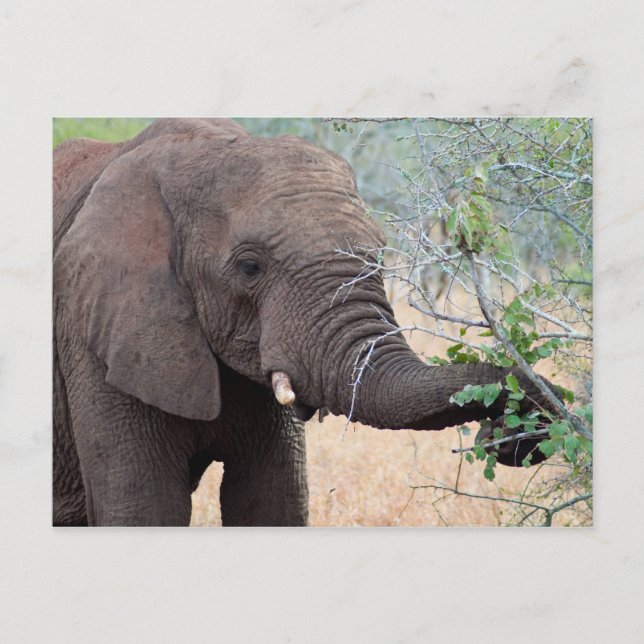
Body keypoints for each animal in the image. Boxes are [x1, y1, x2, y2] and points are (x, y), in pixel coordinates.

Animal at [53, 118, 551, 527]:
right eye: (249, 267)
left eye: (379, 255)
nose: (510, 435)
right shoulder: (93, 335)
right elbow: (145, 507)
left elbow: (273, 502)